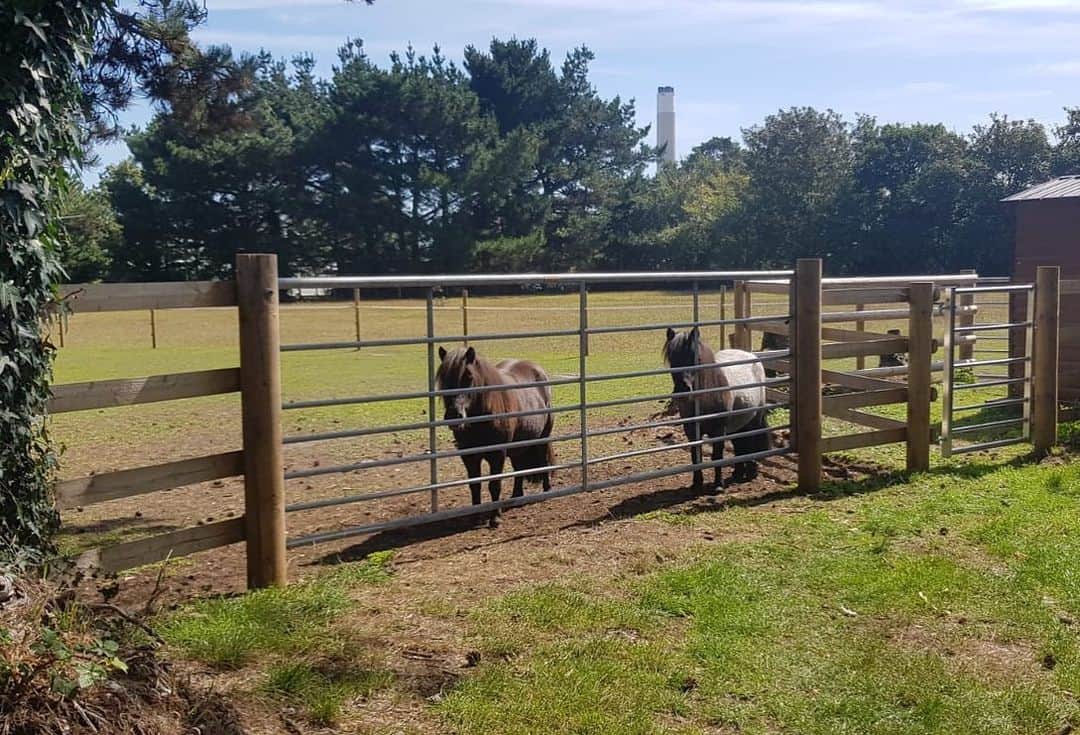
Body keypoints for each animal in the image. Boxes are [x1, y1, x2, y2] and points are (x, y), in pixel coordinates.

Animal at [435, 346, 555, 520]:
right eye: (443, 379)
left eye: (468, 376)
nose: (454, 416)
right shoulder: (468, 456)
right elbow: (475, 485)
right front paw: (476, 516)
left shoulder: (498, 454)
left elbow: (494, 485)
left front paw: (495, 517)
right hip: (517, 445)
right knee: (518, 468)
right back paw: (516, 495)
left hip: (542, 438)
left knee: (543, 461)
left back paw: (547, 490)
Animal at [662, 326, 772, 489]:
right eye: (672, 358)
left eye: (697, 359)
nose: (682, 391)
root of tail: (750, 355)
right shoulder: (692, 431)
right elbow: (696, 456)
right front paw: (697, 484)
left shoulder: (719, 430)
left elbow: (717, 455)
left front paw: (718, 485)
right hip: (738, 422)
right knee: (739, 444)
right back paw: (738, 473)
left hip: (754, 418)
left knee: (751, 440)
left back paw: (751, 472)